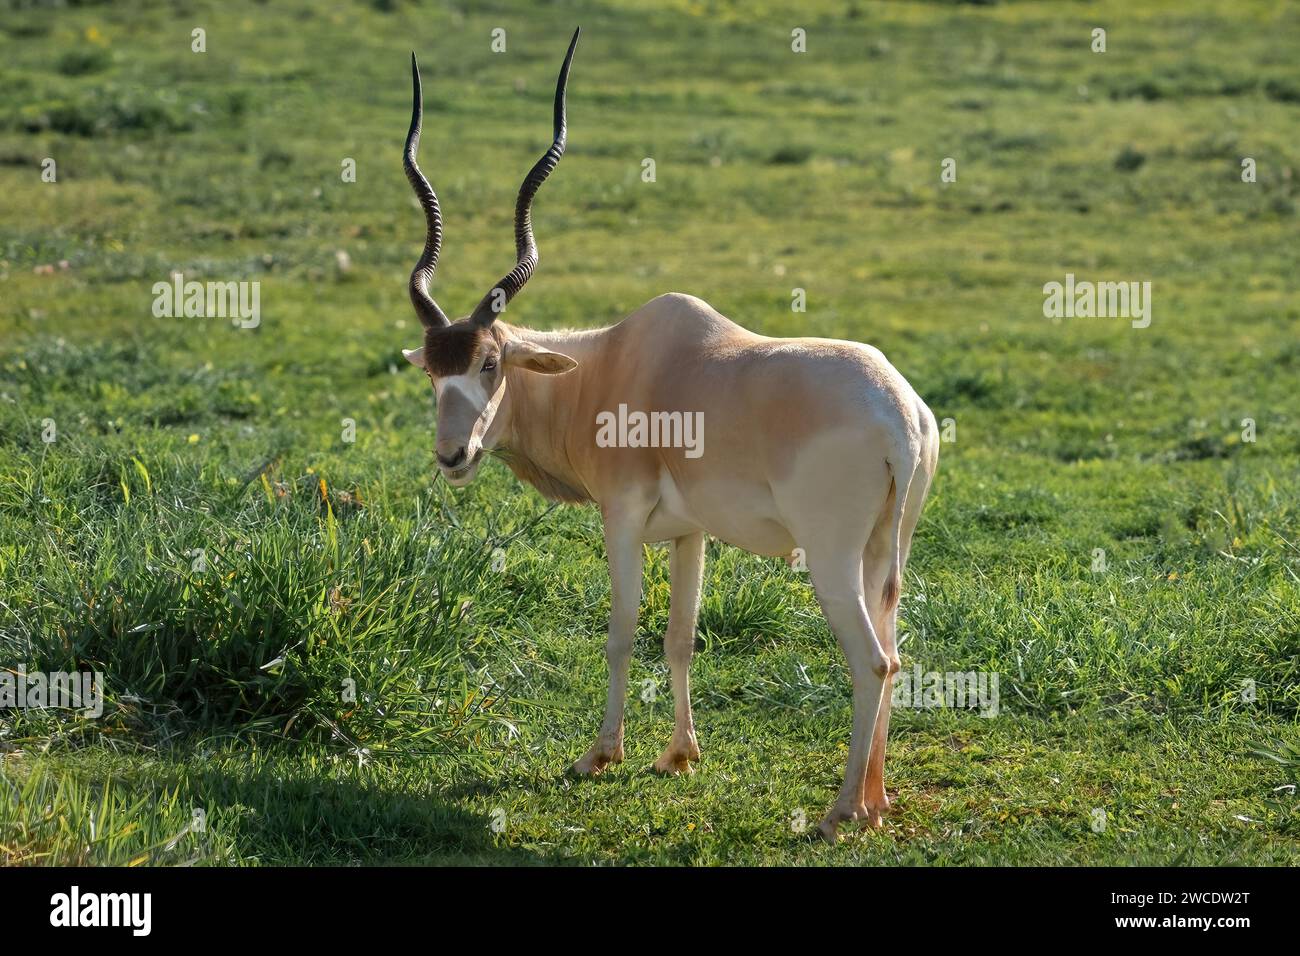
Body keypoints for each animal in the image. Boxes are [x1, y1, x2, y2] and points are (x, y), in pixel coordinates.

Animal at [399, 29, 938, 840]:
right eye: (433, 372)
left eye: (491, 363)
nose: (452, 455)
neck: (611, 366)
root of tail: (899, 416)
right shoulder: (691, 534)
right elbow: (680, 635)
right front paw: (679, 755)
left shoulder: (620, 520)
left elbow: (622, 629)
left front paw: (598, 756)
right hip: (884, 551)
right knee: (896, 649)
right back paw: (875, 802)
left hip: (830, 555)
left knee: (873, 661)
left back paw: (839, 810)